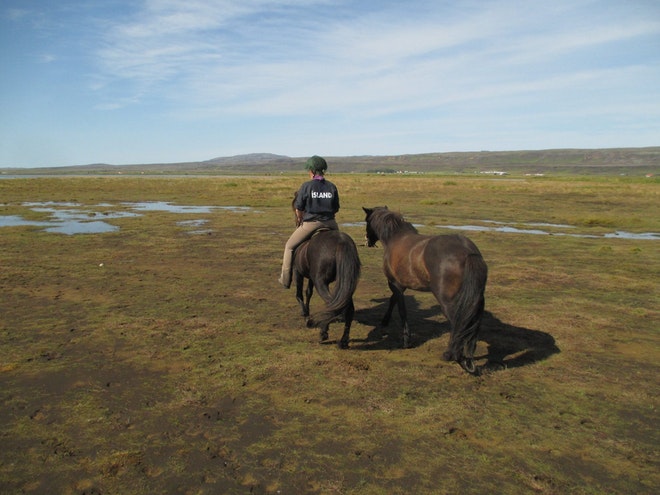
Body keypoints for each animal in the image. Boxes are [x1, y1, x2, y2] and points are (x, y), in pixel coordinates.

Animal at [290, 194, 360, 348]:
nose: (297, 220)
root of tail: (342, 242)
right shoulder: (311, 277)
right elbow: (308, 293)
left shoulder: (298, 272)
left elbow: (299, 294)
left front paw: (305, 314)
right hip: (345, 282)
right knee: (348, 308)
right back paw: (343, 340)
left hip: (321, 282)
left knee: (331, 304)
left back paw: (323, 332)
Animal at [364, 207, 488, 374]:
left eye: (367, 221)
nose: (368, 241)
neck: (395, 238)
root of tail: (468, 251)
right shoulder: (399, 286)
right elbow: (392, 300)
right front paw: (385, 321)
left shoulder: (395, 284)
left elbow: (402, 310)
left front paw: (406, 340)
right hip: (476, 300)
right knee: (473, 326)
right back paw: (468, 360)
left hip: (449, 302)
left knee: (458, 324)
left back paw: (451, 355)